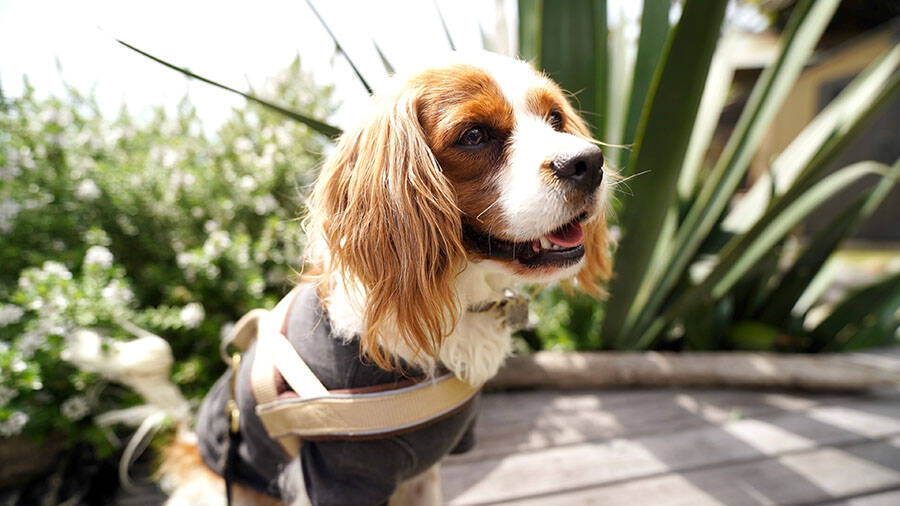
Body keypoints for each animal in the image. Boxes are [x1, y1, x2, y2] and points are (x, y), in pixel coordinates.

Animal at [162, 52, 612, 506]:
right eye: (474, 135)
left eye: (555, 119)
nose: (589, 162)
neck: (457, 300)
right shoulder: (336, 476)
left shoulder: (423, 474)